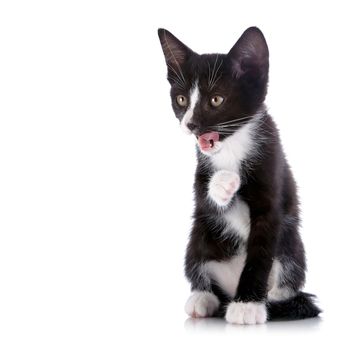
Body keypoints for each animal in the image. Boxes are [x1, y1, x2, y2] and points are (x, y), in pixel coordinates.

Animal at [158, 26, 320, 324]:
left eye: (216, 99)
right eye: (181, 99)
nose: (191, 124)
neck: (232, 145)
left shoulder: (272, 185)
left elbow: (260, 251)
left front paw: (248, 305)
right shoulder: (202, 174)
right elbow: (206, 198)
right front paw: (224, 183)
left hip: (292, 244)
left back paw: (274, 298)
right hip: (199, 236)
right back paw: (203, 298)